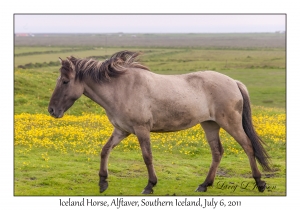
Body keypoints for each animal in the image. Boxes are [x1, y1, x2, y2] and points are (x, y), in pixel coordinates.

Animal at [48, 50, 270, 194]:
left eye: (65, 81)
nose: (52, 110)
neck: (121, 88)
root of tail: (234, 82)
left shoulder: (141, 130)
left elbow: (147, 157)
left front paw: (150, 185)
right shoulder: (121, 130)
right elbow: (105, 150)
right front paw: (103, 182)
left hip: (230, 123)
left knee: (248, 146)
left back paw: (259, 183)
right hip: (210, 125)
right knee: (217, 152)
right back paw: (204, 185)